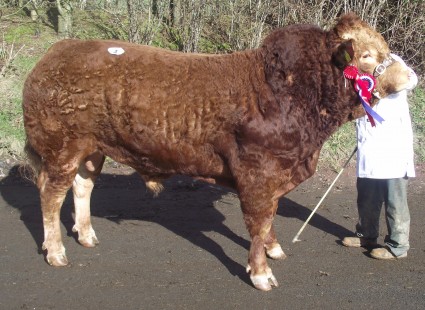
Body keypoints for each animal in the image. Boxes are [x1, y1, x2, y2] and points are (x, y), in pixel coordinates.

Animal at [22, 13, 410, 290]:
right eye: (366, 55)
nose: (409, 76)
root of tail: (57, 52)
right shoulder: (258, 174)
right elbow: (259, 221)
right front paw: (261, 273)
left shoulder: (276, 174)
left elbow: (269, 219)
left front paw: (273, 249)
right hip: (61, 148)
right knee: (51, 195)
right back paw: (56, 251)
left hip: (91, 149)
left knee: (82, 186)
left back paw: (86, 235)